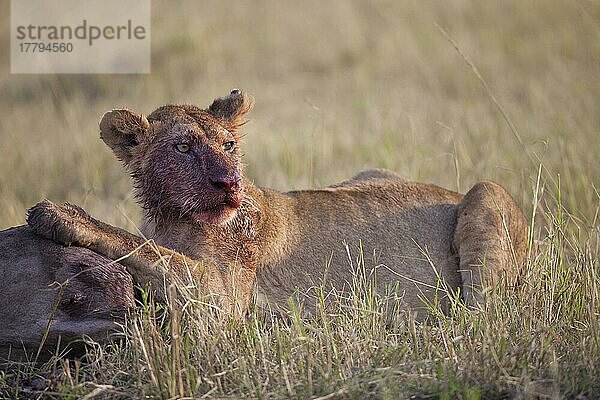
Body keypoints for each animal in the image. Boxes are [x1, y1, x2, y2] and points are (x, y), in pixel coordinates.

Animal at [25, 90, 528, 318]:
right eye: (184, 147)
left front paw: (60, 216)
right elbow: (149, 247)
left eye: (229, 144)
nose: (229, 182)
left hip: (484, 194)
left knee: (483, 315)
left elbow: (146, 249)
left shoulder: (224, 298)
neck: (172, 218)